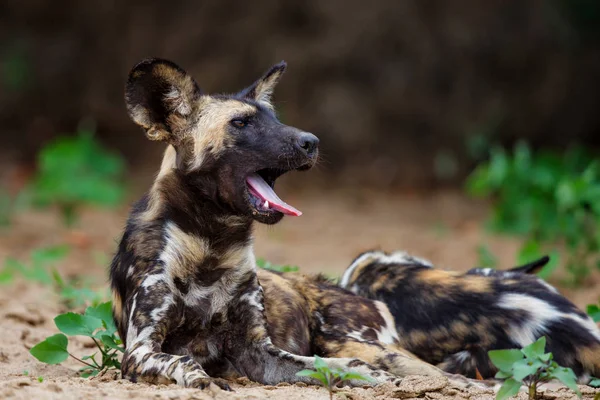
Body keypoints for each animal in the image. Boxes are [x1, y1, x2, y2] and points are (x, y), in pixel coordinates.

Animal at [108, 57, 454, 390]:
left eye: (275, 119)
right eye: (241, 122)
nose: (311, 141)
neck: (212, 242)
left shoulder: (259, 350)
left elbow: (334, 366)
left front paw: (381, 381)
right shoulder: (139, 351)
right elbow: (183, 360)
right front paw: (203, 380)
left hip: (361, 345)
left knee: (442, 374)